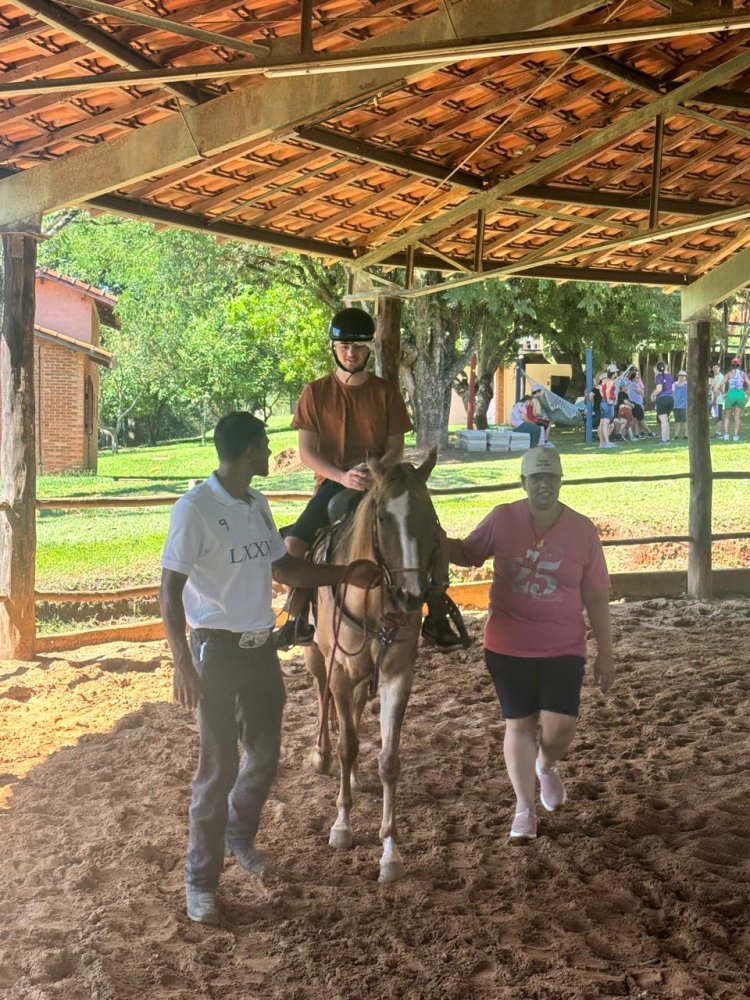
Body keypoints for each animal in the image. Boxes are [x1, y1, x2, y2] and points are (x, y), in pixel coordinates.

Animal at [306, 452, 440, 884]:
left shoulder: (397, 676)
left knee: (355, 713)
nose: (411, 594)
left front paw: (390, 852)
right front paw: (342, 826)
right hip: (317, 656)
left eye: (430, 515)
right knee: (323, 700)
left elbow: (388, 760)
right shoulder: (340, 671)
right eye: (382, 516)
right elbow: (347, 745)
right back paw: (321, 754)